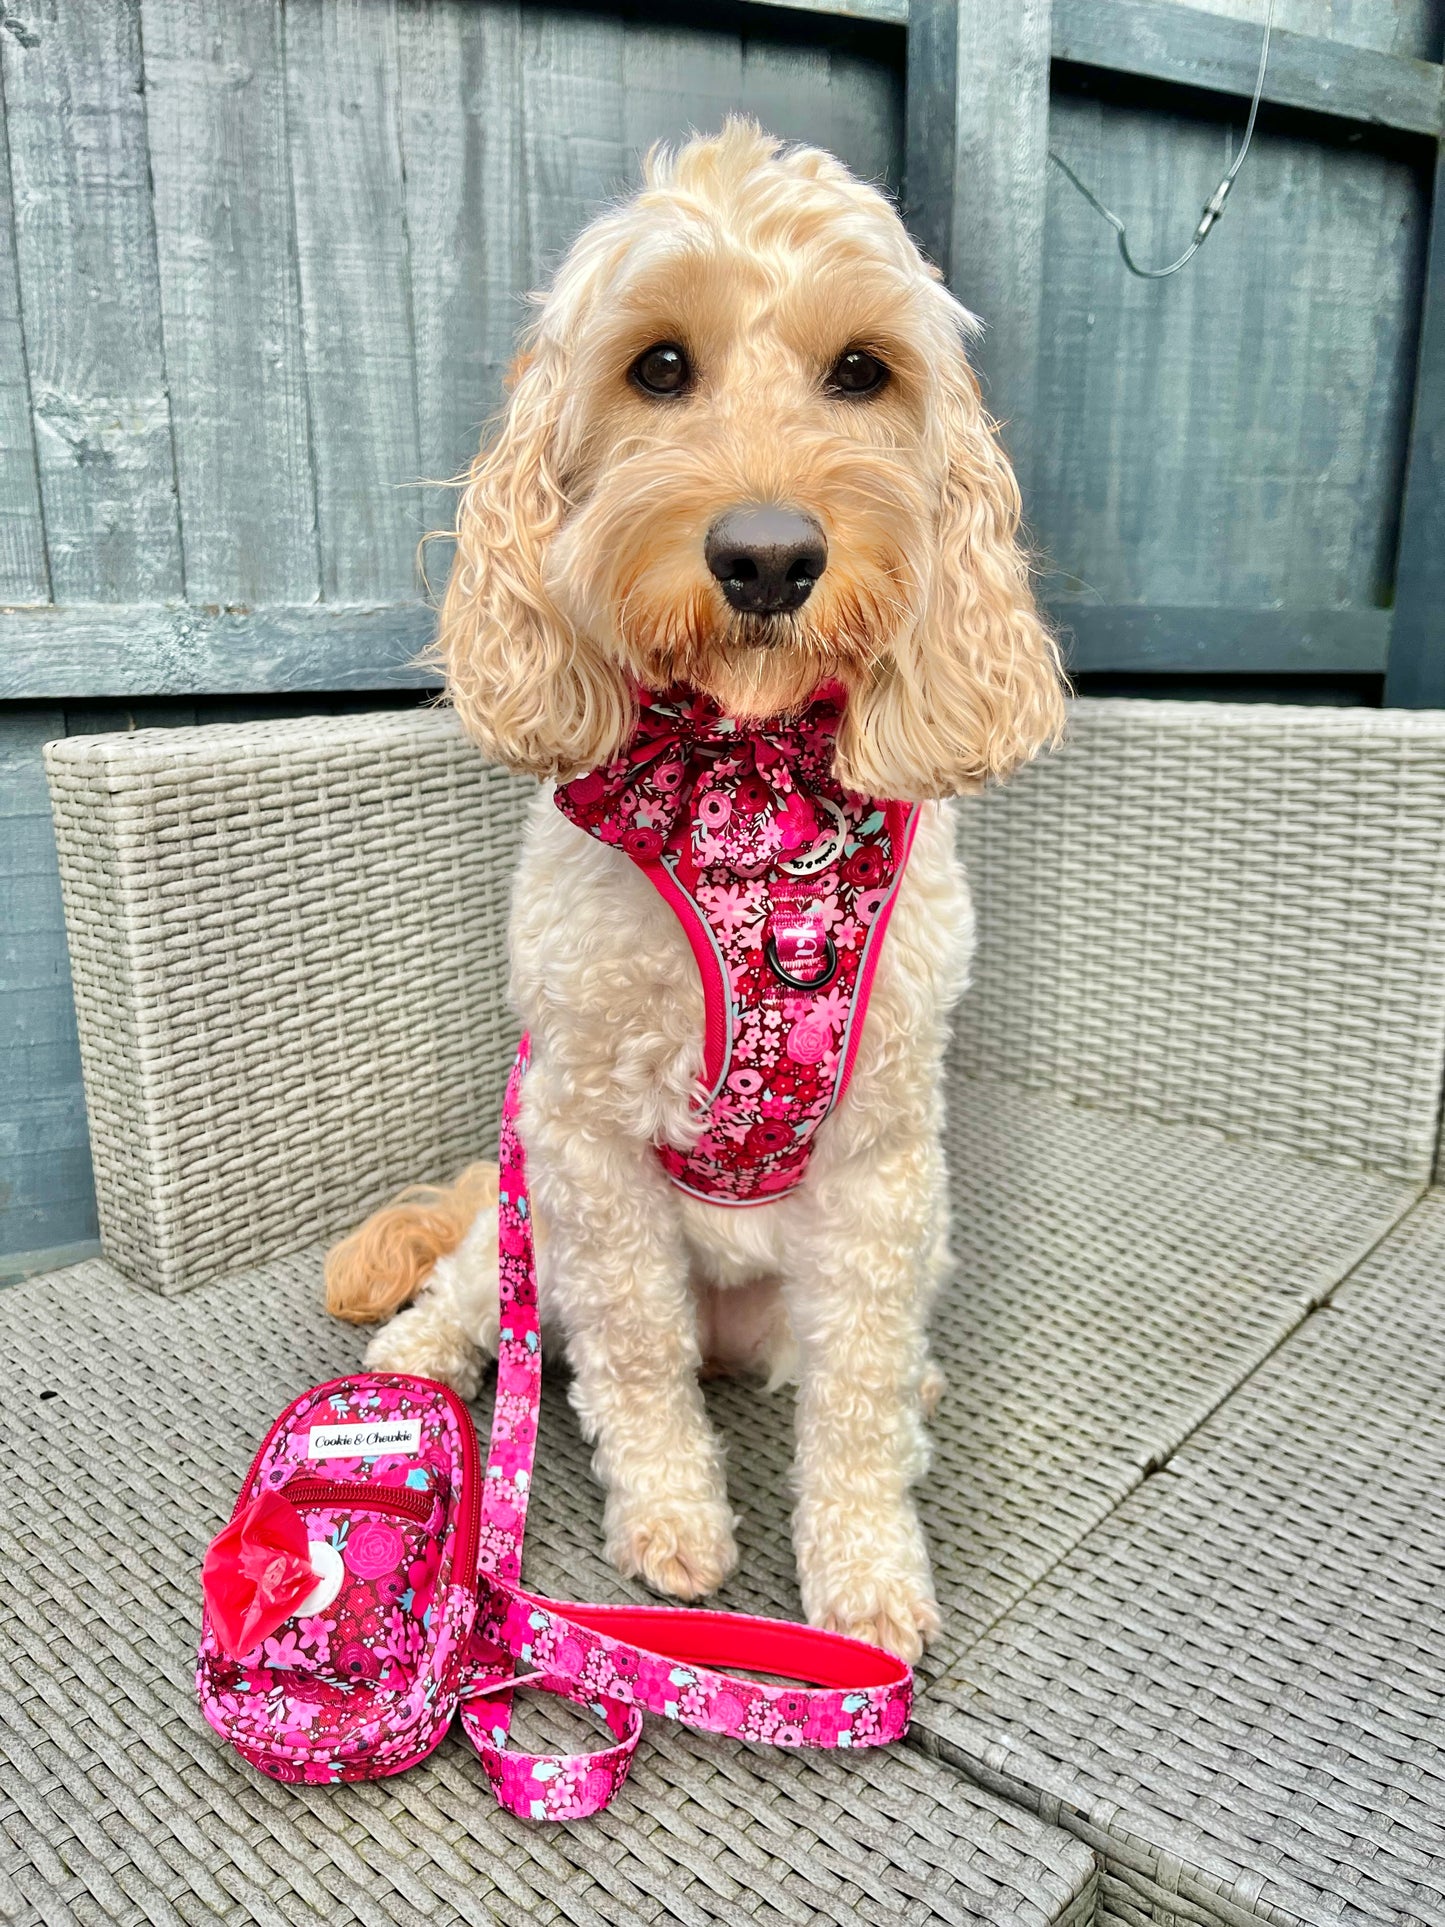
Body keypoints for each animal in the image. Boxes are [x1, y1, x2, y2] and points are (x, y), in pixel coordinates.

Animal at [333, 120, 1071, 1664]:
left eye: (861, 370)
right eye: (658, 366)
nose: (769, 555)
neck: (747, 767)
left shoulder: (882, 1158)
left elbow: (854, 1399)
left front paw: (865, 1571)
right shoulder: (582, 1131)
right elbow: (632, 1352)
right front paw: (672, 1518)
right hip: (526, 1198)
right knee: (484, 1289)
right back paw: (421, 1353)